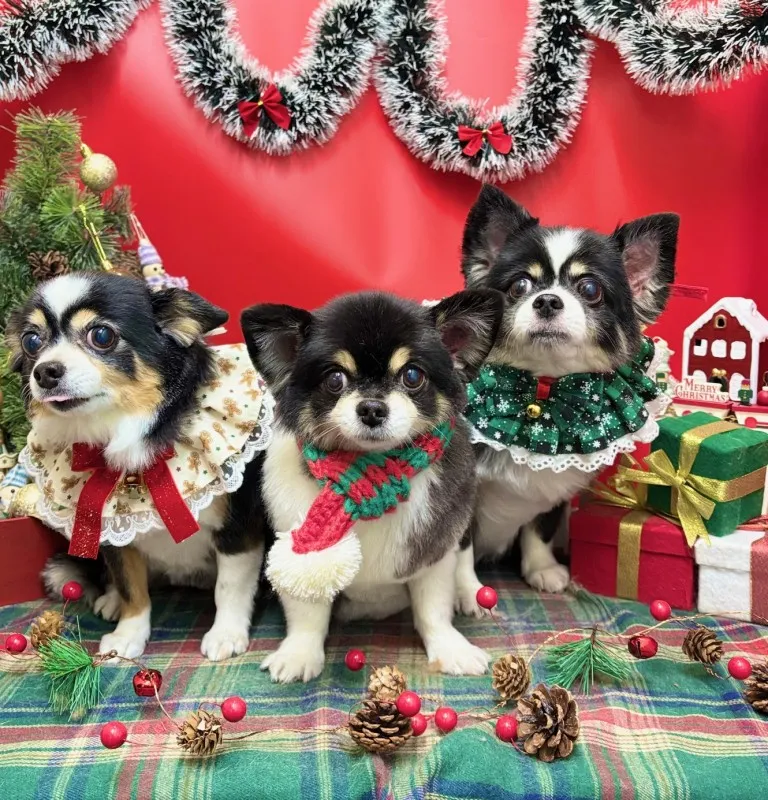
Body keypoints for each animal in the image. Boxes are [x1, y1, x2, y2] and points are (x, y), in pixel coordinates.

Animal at [7, 273, 270, 660]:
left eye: (102, 335)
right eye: (31, 341)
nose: (45, 371)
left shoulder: (238, 527)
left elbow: (230, 587)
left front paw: (226, 634)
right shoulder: (112, 531)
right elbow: (131, 584)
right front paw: (128, 633)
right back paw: (112, 600)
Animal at [241, 289, 503, 682]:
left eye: (412, 375)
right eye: (335, 379)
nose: (372, 408)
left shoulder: (433, 550)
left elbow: (433, 608)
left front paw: (450, 649)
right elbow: (307, 614)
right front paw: (299, 654)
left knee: (465, 554)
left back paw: (471, 592)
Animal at [454, 186, 678, 607]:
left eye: (590, 289)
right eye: (520, 286)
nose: (547, 300)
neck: (544, 390)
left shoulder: (553, 484)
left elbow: (542, 525)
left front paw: (541, 568)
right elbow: (456, 545)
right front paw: (465, 591)